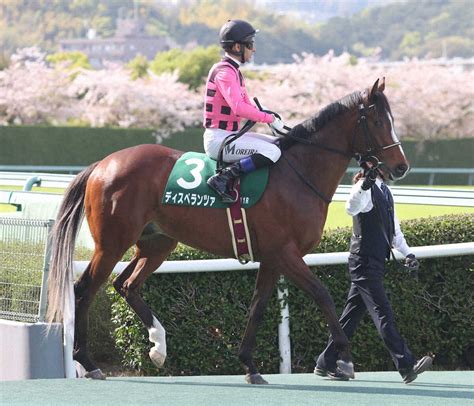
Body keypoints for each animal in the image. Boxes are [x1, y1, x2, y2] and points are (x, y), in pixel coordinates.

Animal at [48, 78, 410, 384]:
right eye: (379, 121)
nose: (401, 166)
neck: (298, 172)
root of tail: (102, 164)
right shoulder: (286, 253)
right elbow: (322, 295)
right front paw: (344, 360)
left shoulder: (272, 257)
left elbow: (257, 306)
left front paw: (249, 365)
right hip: (112, 243)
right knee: (84, 289)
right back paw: (88, 362)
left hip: (157, 243)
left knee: (126, 285)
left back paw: (158, 346)